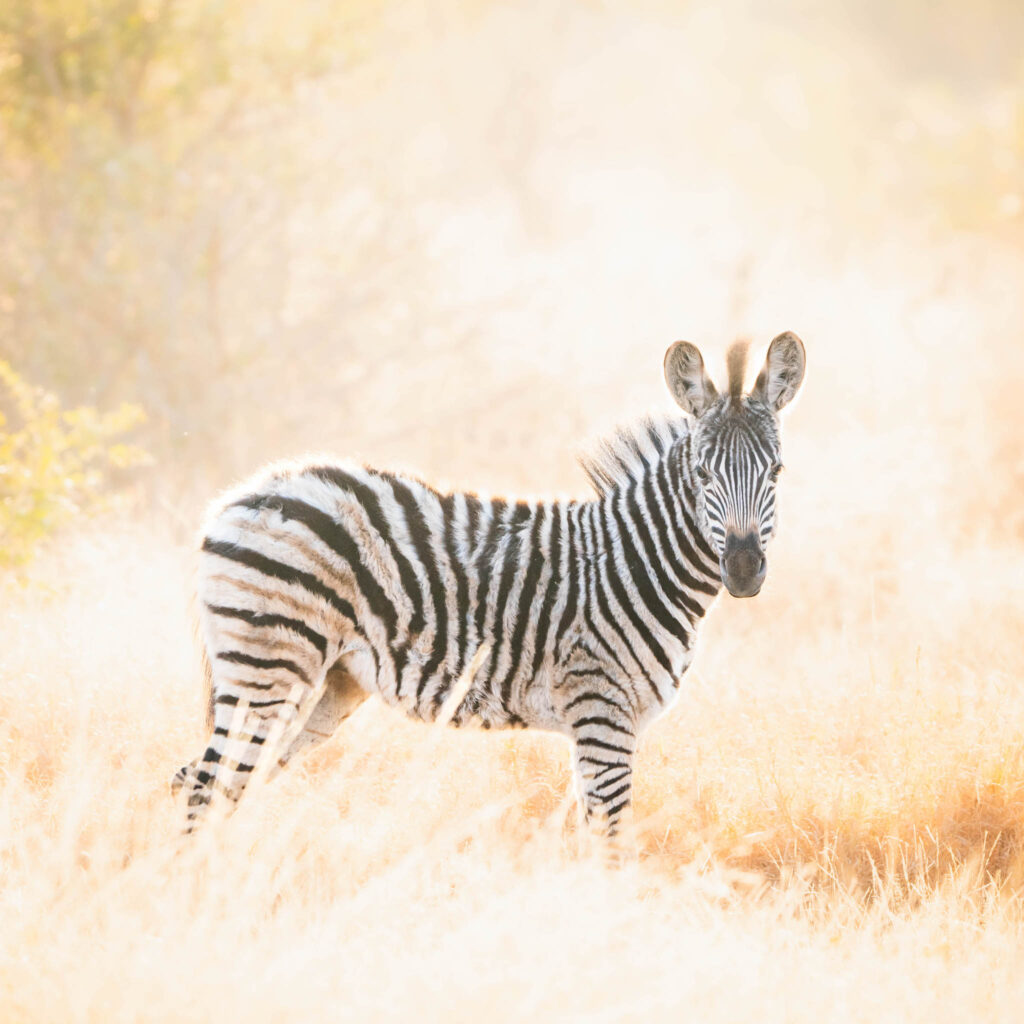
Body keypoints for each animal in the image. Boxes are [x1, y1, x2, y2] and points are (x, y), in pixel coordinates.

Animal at [172, 331, 802, 851]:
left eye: (776, 472)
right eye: (703, 475)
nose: (743, 569)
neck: (636, 562)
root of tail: (242, 495)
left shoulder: (614, 722)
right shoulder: (600, 709)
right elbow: (611, 840)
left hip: (322, 683)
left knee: (211, 781)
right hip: (269, 663)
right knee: (205, 787)